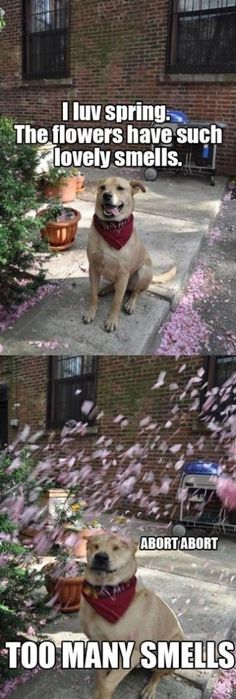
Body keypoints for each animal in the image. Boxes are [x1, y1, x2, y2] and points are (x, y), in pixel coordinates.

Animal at [80, 532, 183, 696]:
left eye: (117, 547)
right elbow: (101, 679)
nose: (101, 557)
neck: (104, 593)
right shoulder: (101, 645)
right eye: (95, 545)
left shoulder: (134, 651)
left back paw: (150, 689)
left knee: (157, 674)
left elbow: (107, 684)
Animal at [82, 179, 176, 334]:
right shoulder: (93, 268)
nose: (107, 195)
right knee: (115, 286)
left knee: (135, 292)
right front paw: (91, 312)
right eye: (102, 187)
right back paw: (105, 289)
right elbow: (93, 294)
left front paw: (112, 320)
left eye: (120, 188)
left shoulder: (123, 274)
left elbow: (117, 301)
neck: (111, 227)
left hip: (143, 272)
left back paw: (130, 303)